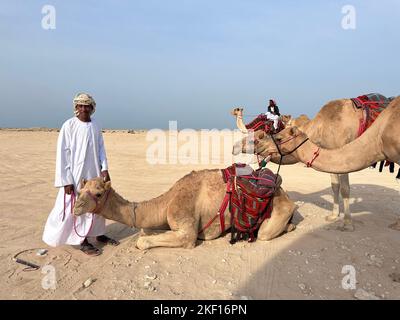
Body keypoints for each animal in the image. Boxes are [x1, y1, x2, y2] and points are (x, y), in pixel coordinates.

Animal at [72, 170, 296, 250]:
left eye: (98, 193)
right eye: (80, 190)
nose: (76, 207)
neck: (167, 202)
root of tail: (282, 190)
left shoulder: (186, 228)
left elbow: (143, 241)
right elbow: (145, 231)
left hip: (279, 209)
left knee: (266, 232)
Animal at [252, 96, 400, 231]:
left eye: (279, 137)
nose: (259, 145)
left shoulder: (342, 149)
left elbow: (345, 189)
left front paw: (347, 223)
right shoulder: (330, 149)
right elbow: (335, 186)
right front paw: (334, 216)